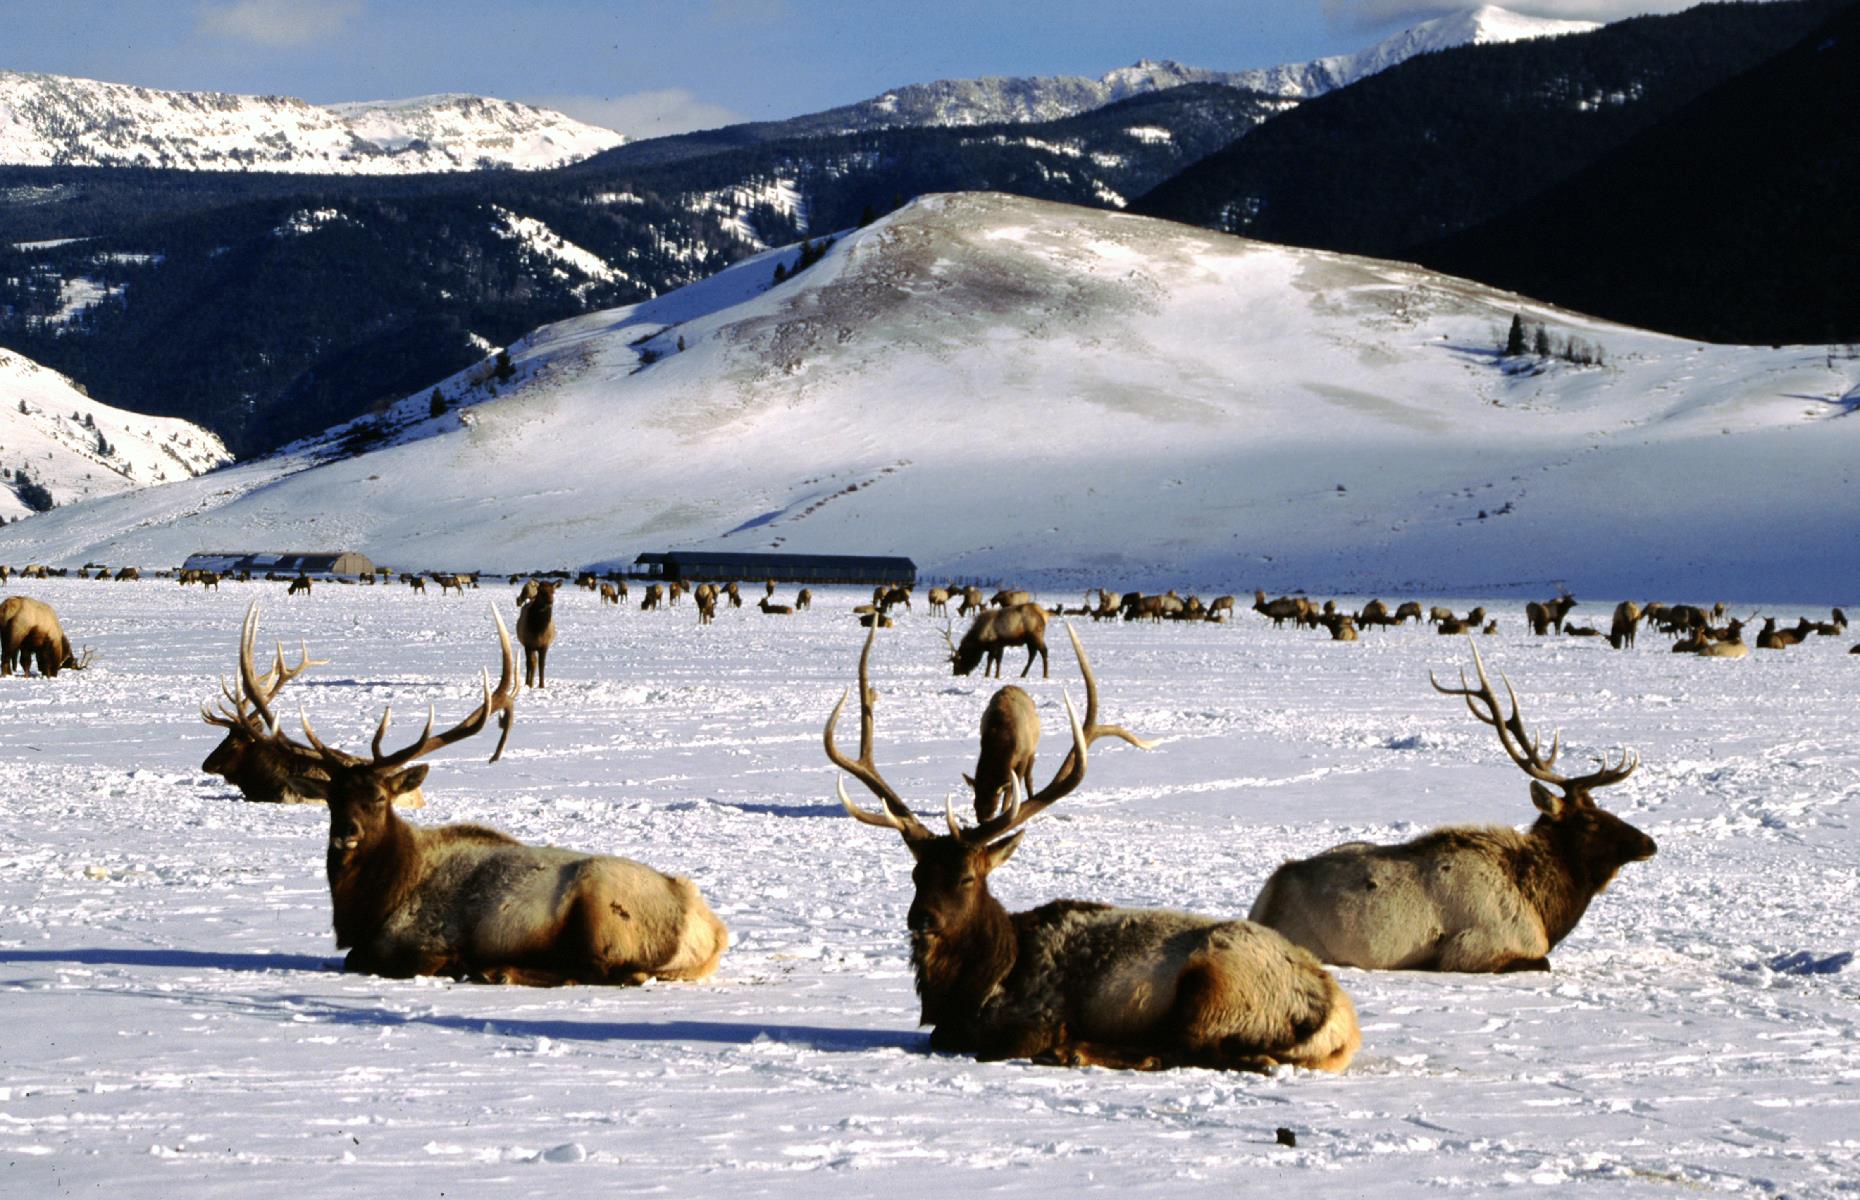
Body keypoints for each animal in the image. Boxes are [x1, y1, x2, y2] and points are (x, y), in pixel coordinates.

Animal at [221, 602, 729, 989]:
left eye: (381, 798)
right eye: (332, 798)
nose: (346, 833)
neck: (367, 905)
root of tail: (714, 932)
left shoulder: (418, 937)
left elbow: (368, 959)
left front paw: (459, 963)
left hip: (604, 912)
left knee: (608, 972)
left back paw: (497, 970)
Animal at [829, 621, 1354, 1071]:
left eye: (968, 876)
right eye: (917, 873)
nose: (921, 919)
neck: (978, 982)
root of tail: (1340, 1021)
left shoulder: (1035, 1015)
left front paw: (1061, 1043)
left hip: (1215, 984)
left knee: (1187, 1050)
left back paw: (1074, 1051)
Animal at [1249, 640, 1659, 967]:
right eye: (1591, 820)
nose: (1649, 842)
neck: (1542, 904)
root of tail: (1266, 899)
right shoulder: (1474, 946)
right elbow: (1541, 962)